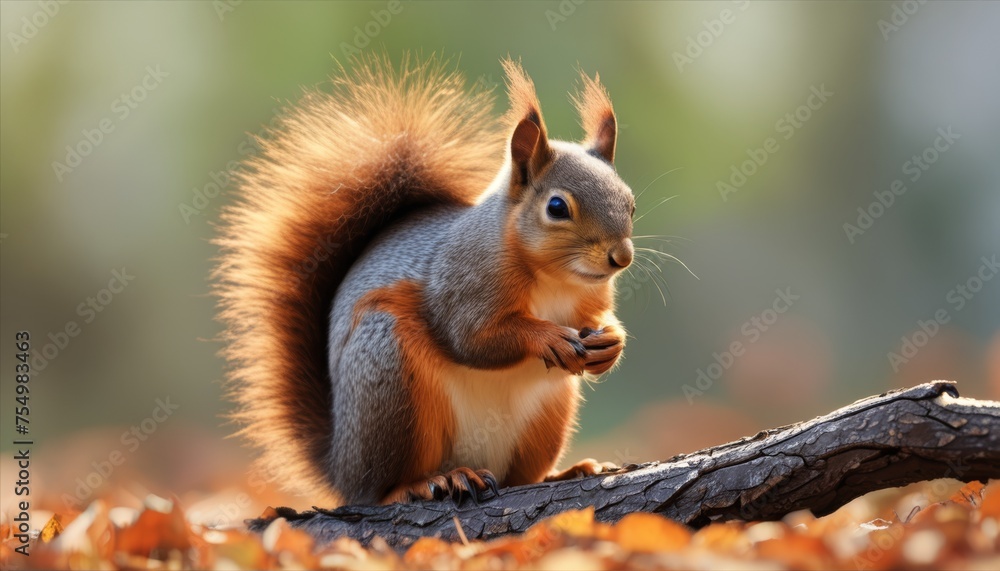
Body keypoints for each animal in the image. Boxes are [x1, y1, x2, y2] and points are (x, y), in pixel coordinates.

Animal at [215, 55, 635, 506]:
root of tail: (340, 469)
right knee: (382, 489)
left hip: (547, 416)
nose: (621, 257)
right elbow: (473, 339)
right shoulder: (461, 283)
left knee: (523, 478)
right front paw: (547, 337)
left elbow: (597, 319)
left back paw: (568, 471)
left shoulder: (589, 299)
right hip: (390, 380)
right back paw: (432, 481)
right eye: (557, 207)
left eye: (630, 202)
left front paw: (612, 341)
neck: (555, 278)